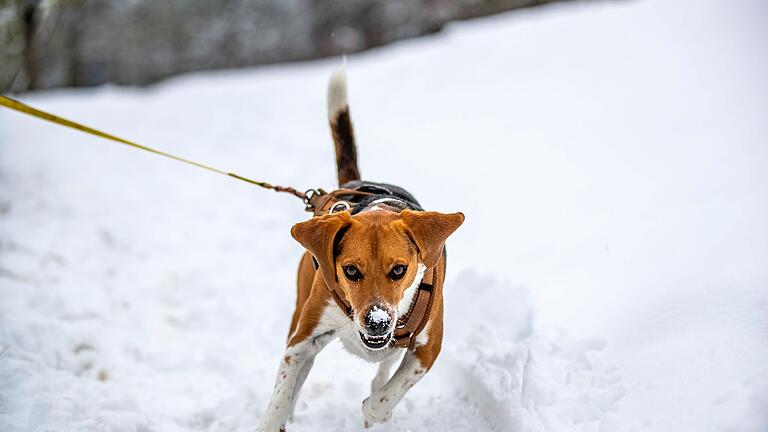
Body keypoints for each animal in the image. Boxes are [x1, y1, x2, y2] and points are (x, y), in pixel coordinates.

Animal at [258, 67, 464, 432]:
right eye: (350, 271)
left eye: (399, 270)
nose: (377, 323)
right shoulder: (302, 341)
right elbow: (283, 389)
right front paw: (276, 417)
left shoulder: (428, 348)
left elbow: (382, 400)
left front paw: (374, 410)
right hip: (299, 310)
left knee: (385, 367)